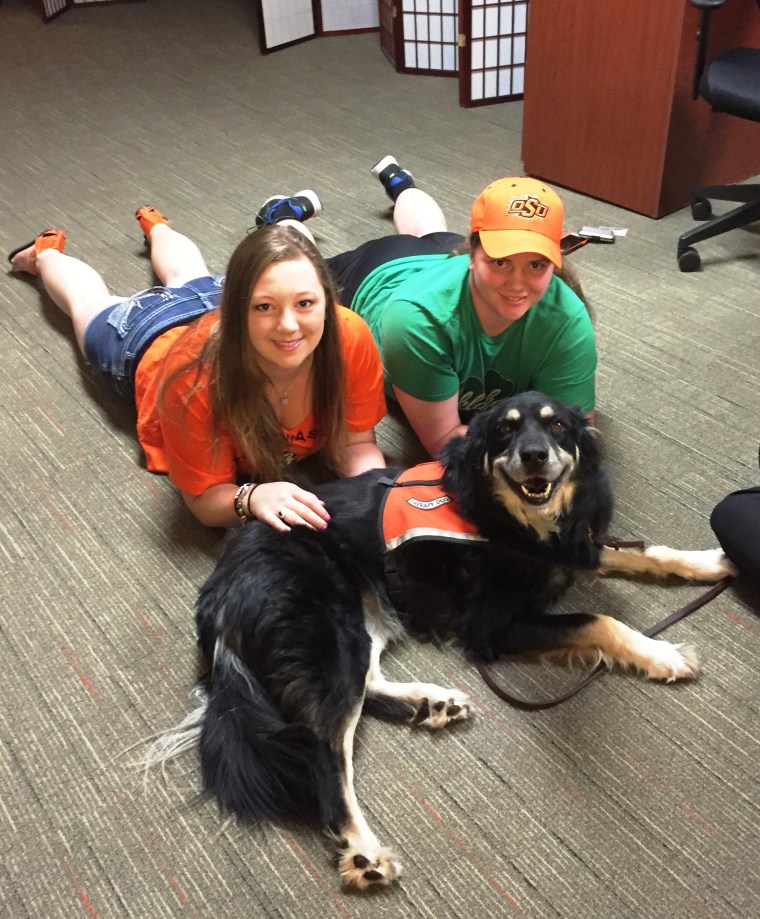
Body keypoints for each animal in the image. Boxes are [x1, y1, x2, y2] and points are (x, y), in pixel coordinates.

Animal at [150, 394, 736, 892]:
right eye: (504, 430)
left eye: (557, 426)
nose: (534, 456)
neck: (512, 516)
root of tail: (220, 588)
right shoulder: (491, 627)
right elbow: (600, 620)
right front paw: (664, 654)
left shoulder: (573, 547)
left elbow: (644, 553)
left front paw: (709, 563)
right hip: (329, 633)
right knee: (327, 747)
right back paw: (362, 851)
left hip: (365, 615)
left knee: (366, 684)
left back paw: (432, 701)